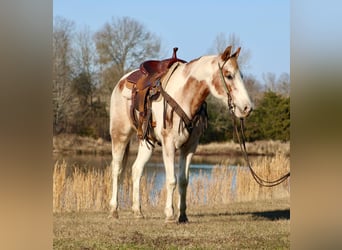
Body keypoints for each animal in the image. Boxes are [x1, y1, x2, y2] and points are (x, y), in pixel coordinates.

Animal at [108, 45, 252, 223]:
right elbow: (171, 180)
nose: (247, 108)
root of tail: (122, 81)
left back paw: (137, 211)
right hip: (119, 135)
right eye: (229, 75)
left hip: (146, 141)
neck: (184, 96)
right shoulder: (168, 145)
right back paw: (114, 210)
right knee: (117, 169)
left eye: (241, 76)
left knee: (136, 170)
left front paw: (182, 215)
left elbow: (184, 181)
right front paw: (170, 215)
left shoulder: (190, 147)